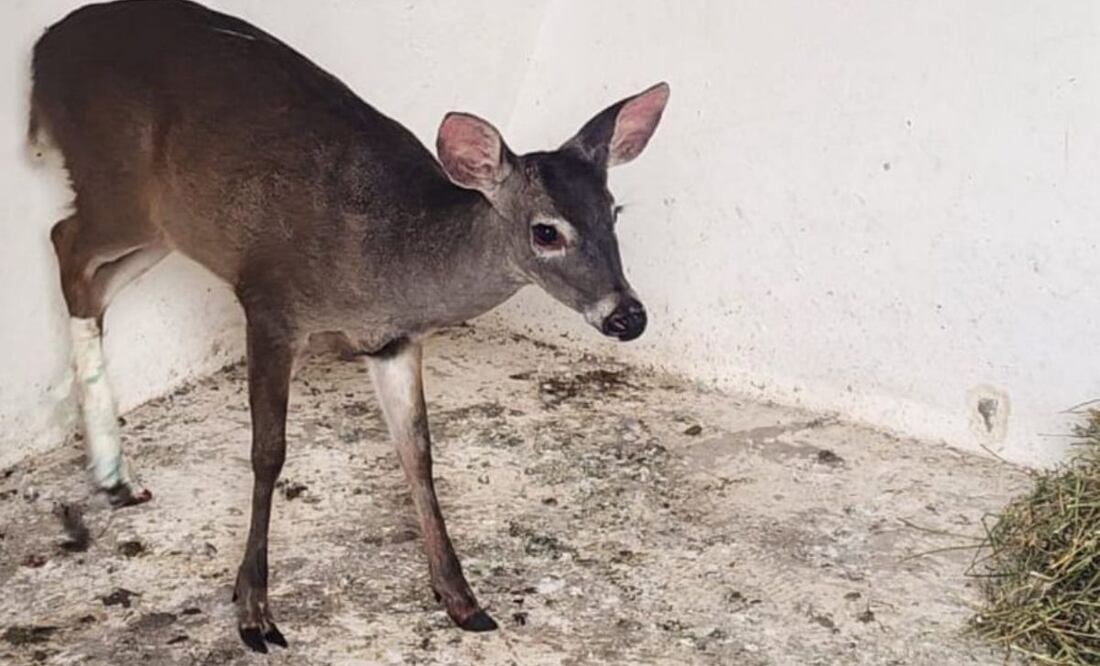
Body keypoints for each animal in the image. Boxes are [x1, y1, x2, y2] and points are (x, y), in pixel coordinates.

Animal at [29, 0, 668, 652]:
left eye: (614, 212)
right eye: (546, 231)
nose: (629, 315)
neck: (386, 260)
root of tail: (42, 51)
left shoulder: (391, 343)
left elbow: (417, 452)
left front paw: (461, 599)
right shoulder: (270, 302)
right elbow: (268, 452)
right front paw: (253, 610)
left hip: (167, 225)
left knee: (93, 279)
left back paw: (114, 473)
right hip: (116, 185)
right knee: (63, 241)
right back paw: (111, 467)